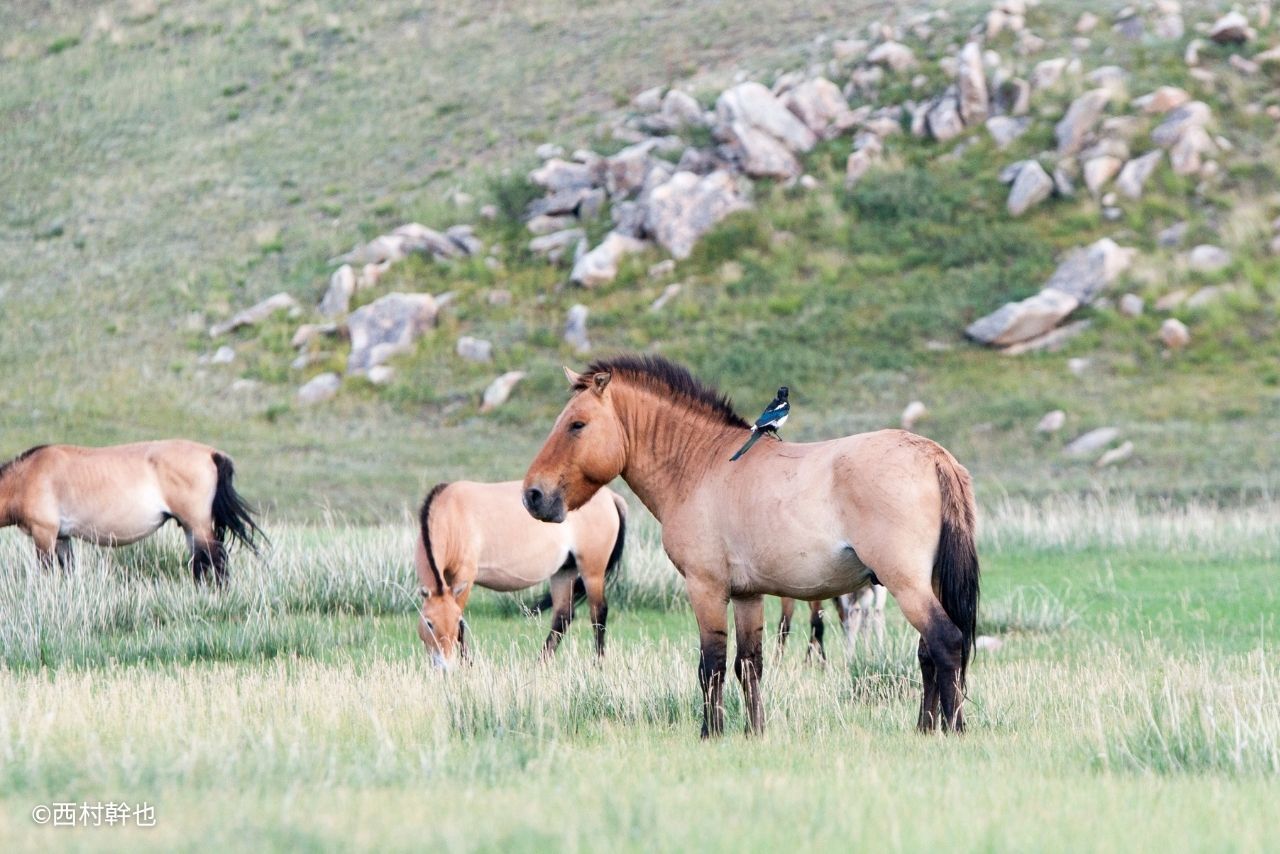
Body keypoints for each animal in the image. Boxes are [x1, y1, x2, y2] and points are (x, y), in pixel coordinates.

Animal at [0, 440, 263, 581]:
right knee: (200, 562)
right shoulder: (62, 537)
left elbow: (46, 571)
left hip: (198, 525)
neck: (27, 476)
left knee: (216, 560)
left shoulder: (44, 533)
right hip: (190, 527)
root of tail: (211, 454)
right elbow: (67, 571)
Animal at [412, 481, 627, 665]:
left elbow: (462, 626)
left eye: (453, 622)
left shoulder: (465, 576)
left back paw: (597, 664)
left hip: (592, 571)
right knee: (563, 616)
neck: (452, 515)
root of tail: (611, 496)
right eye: (429, 623)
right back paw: (540, 663)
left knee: (598, 612)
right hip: (565, 571)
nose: (444, 664)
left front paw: (468, 665)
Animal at [519, 358, 977, 737]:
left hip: (906, 584)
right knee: (928, 652)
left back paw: (953, 728)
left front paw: (711, 733)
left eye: (577, 425)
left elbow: (713, 665)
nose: (533, 495)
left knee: (946, 642)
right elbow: (749, 665)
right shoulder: (747, 595)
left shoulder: (706, 588)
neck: (700, 465)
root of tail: (934, 456)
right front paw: (755, 731)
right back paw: (926, 728)